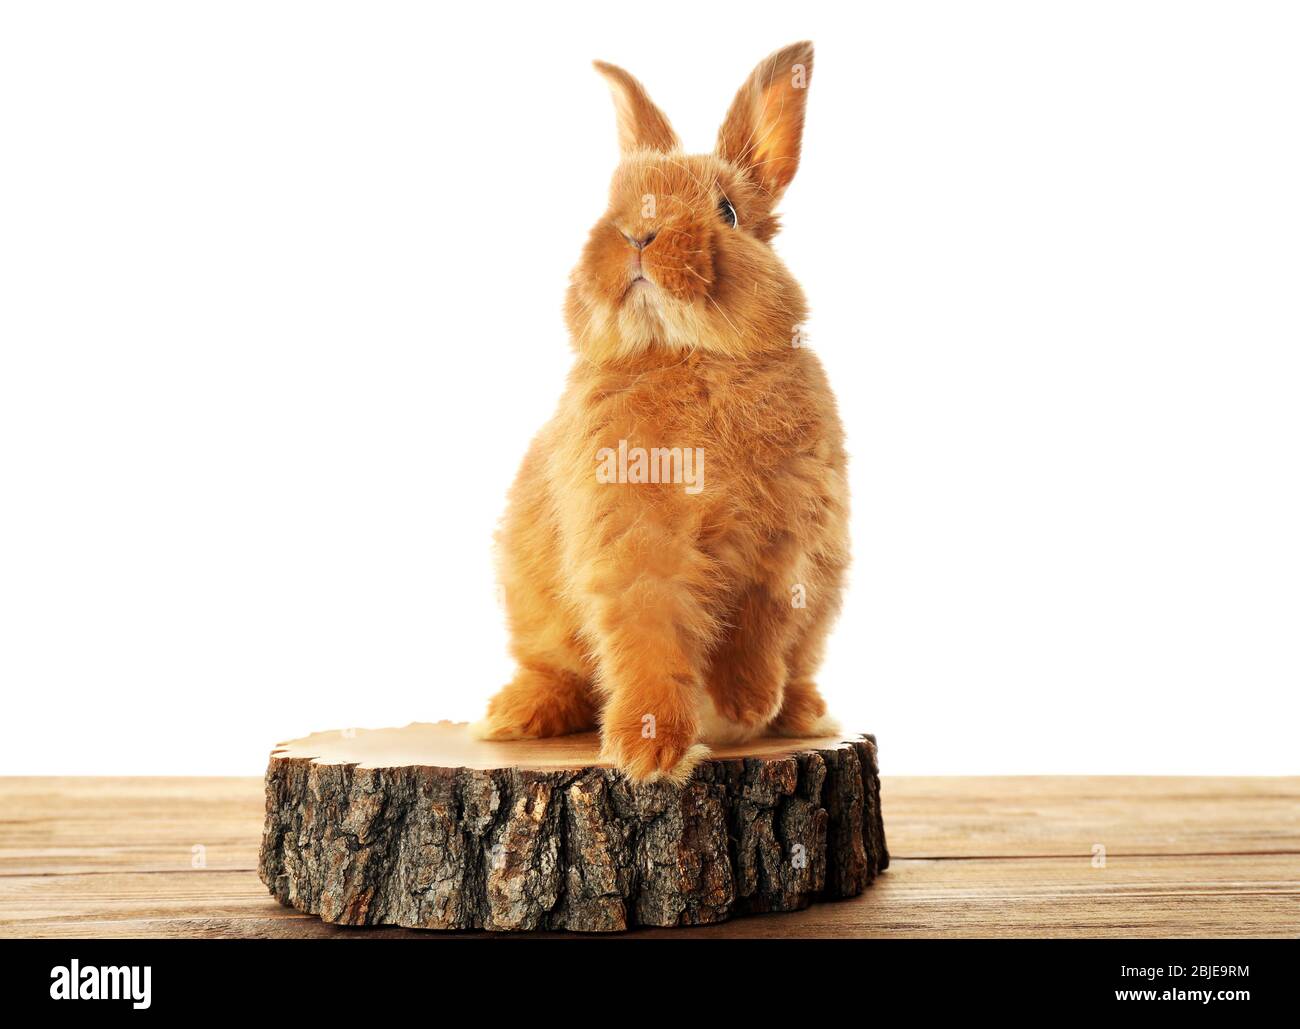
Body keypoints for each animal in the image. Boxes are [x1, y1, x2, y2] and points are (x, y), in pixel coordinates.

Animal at [471, 41, 849, 783]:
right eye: (610, 202)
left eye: (727, 211)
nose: (637, 233)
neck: (687, 353)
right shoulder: (634, 541)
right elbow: (649, 638)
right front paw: (648, 752)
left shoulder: (788, 543)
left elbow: (758, 623)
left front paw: (744, 701)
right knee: (555, 670)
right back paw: (513, 714)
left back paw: (801, 712)